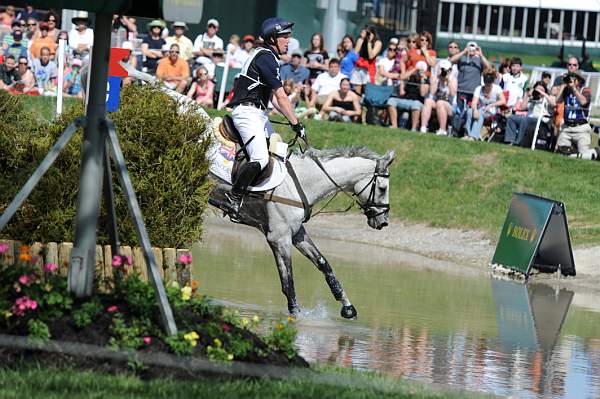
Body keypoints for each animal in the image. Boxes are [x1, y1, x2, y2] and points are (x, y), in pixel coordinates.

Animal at [210, 147, 394, 318]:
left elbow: (324, 265)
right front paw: (296, 315)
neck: (299, 183)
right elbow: (288, 283)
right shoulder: (279, 239)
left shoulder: (297, 233)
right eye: (382, 188)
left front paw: (348, 308)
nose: (384, 221)